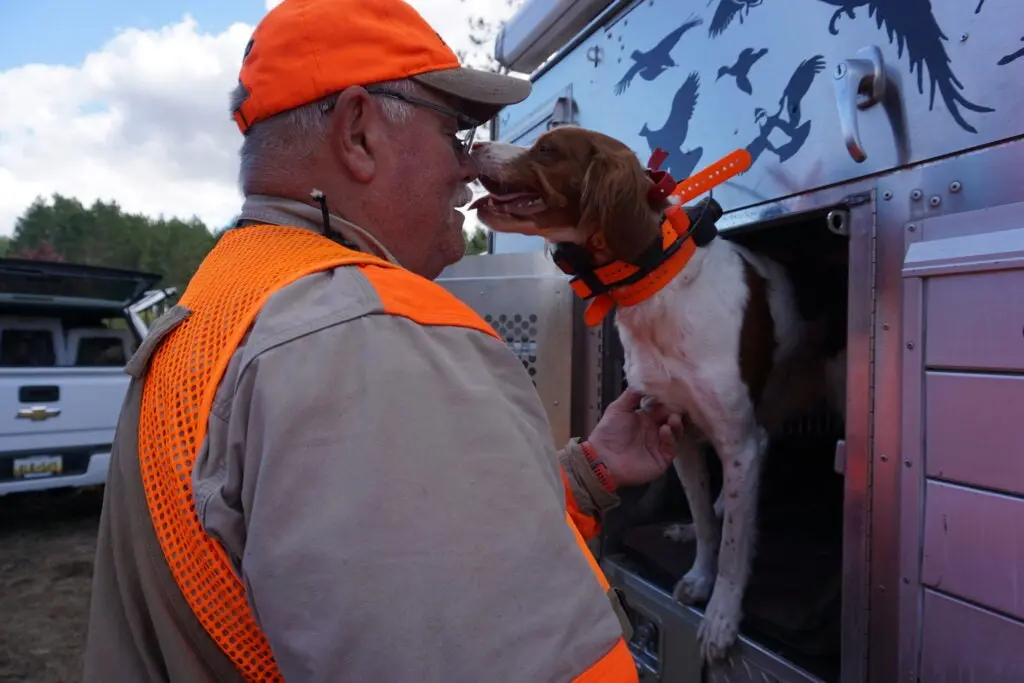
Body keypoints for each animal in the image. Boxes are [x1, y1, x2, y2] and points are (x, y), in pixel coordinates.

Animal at [468, 126, 843, 663]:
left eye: (548, 149)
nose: (474, 145)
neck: (658, 285)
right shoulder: (677, 429)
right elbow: (707, 525)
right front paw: (700, 574)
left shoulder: (735, 436)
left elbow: (734, 548)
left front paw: (722, 616)